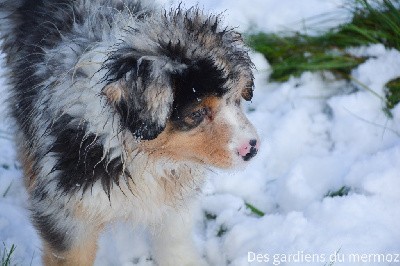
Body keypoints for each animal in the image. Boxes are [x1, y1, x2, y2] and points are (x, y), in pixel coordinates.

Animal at [0, 1, 260, 264]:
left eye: (237, 99)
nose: (252, 148)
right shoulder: (68, 216)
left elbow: (175, 246)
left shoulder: (173, 210)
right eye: (197, 113)